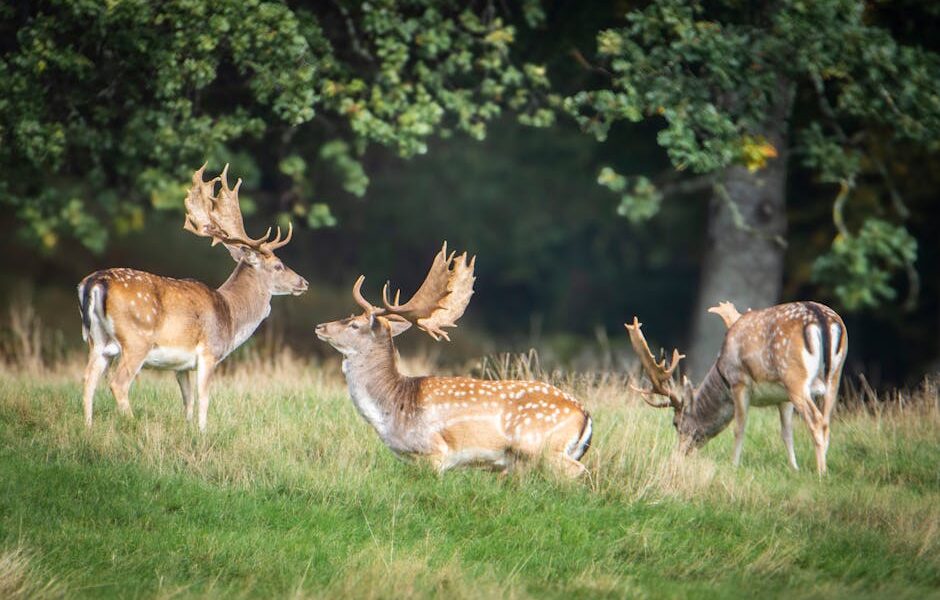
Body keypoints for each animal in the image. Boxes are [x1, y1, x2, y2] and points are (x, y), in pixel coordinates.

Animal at [78, 164, 308, 431]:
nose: (303, 282)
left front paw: (188, 429)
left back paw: (88, 428)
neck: (231, 316)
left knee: (88, 379)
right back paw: (131, 423)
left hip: (98, 341)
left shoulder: (181, 366)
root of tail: (94, 282)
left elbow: (187, 399)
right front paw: (203, 431)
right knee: (118, 383)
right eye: (278, 266)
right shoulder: (209, 352)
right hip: (136, 340)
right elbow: (204, 398)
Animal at [314, 243, 593, 477]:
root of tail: (585, 415)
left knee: (577, 471)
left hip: (539, 445)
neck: (392, 408)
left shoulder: (435, 451)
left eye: (354, 324)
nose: (320, 326)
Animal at [625, 300, 847, 474]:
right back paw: (823, 466)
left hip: (795, 376)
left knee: (817, 421)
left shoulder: (739, 381)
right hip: (833, 376)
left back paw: (821, 472)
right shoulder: (783, 398)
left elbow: (739, 427)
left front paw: (734, 465)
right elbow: (787, 433)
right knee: (826, 422)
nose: (679, 454)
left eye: (675, 423)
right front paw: (794, 468)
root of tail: (822, 318)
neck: (722, 372)